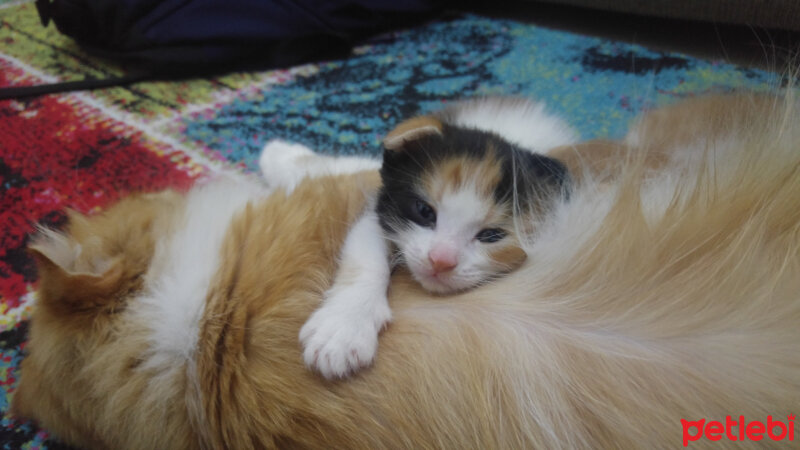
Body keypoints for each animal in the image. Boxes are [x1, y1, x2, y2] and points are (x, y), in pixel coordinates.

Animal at [278, 96, 580, 378]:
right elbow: (366, 255)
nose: (441, 260)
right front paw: (344, 325)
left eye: (491, 235)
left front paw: (343, 331)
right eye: (424, 211)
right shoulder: (381, 207)